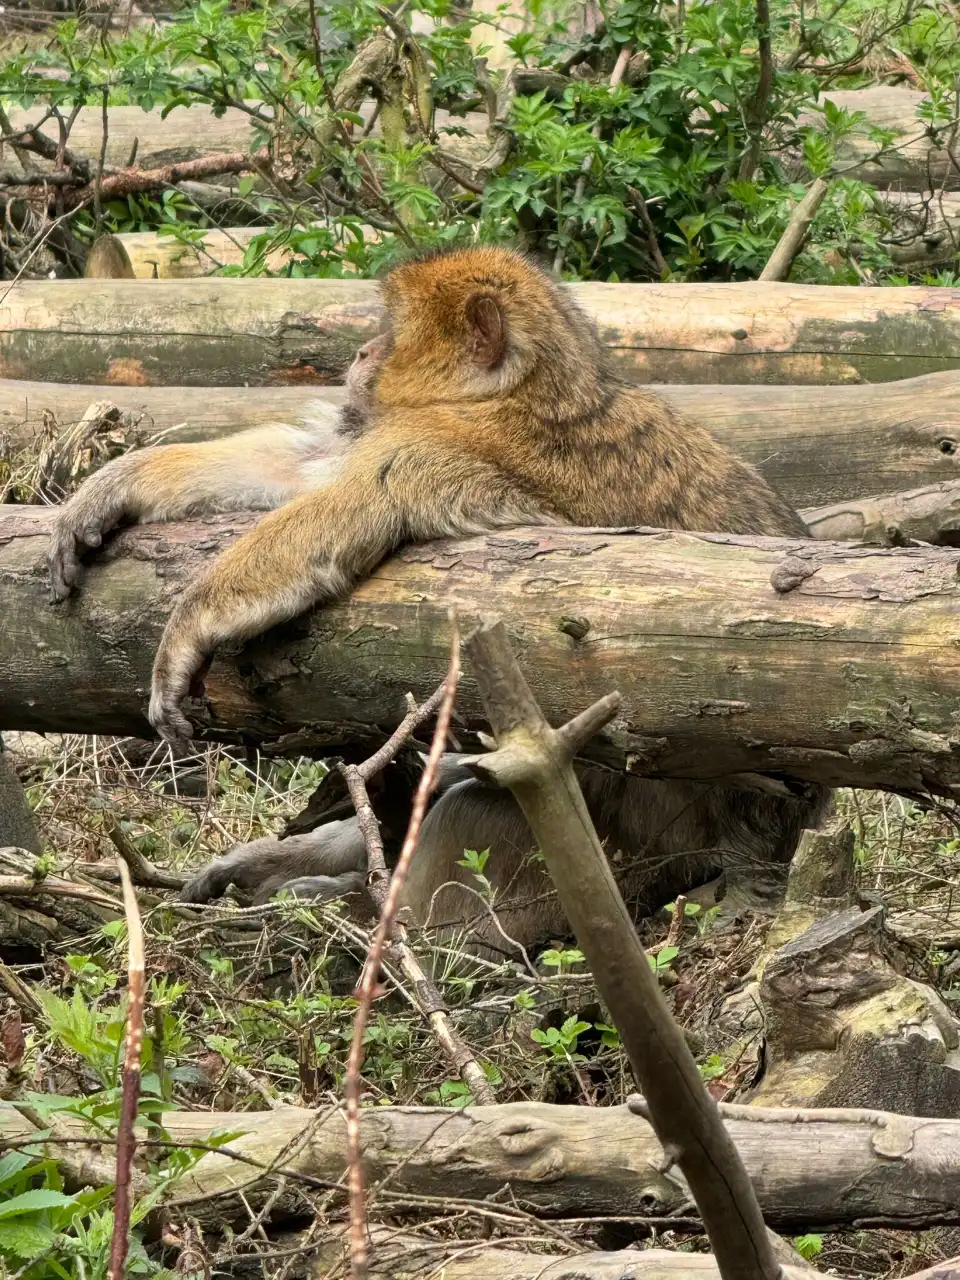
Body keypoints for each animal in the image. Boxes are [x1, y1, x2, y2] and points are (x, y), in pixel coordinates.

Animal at [47, 245, 828, 954]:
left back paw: (367, 913)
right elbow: (301, 465)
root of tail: (774, 838)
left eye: (392, 333)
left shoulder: (436, 446)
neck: (521, 393)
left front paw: (184, 632)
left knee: (489, 806)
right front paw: (117, 484)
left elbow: (333, 521)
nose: (362, 352)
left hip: (648, 834)